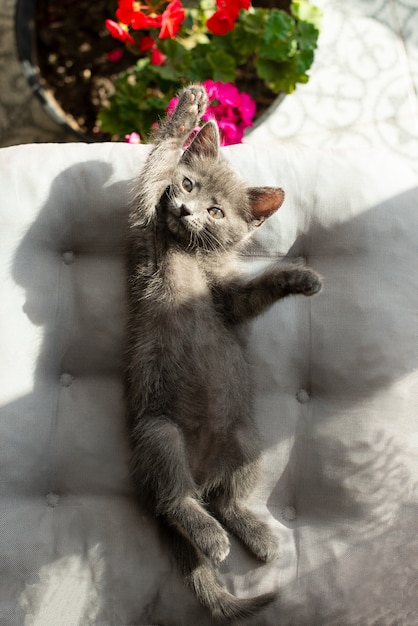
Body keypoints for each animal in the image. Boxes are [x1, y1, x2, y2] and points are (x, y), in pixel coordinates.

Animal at [125, 84, 322, 620]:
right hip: (159, 432)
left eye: (216, 212)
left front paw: (299, 278)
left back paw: (258, 535)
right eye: (187, 183)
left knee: (231, 500)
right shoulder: (145, 218)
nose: (186, 210)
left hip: (247, 440)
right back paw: (211, 538)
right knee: (175, 501)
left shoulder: (225, 298)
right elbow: (157, 164)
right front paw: (189, 109)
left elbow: (252, 292)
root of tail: (202, 470)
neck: (189, 251)